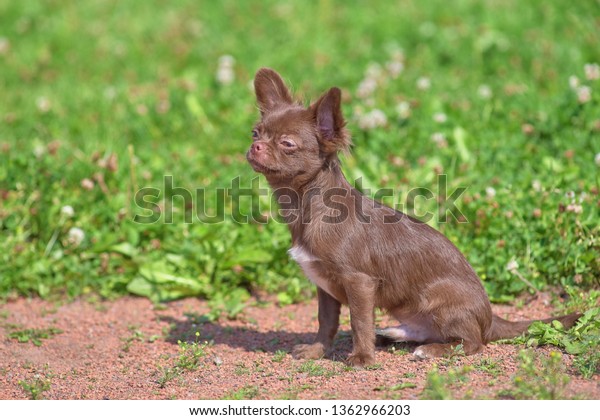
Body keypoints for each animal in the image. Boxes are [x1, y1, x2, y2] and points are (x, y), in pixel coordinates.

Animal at [245, 67, 580, 366]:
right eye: (255, 133)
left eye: (287, 143)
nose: (255, 146)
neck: (305, 205)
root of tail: (490, 317)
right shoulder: (324, 286)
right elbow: (326, 322)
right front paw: (317, 351)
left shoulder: (359, 282)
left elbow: (359, 322)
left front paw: (362, 358)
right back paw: (393, 335)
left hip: (438, 298)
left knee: (473, 342)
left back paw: (431, 350)